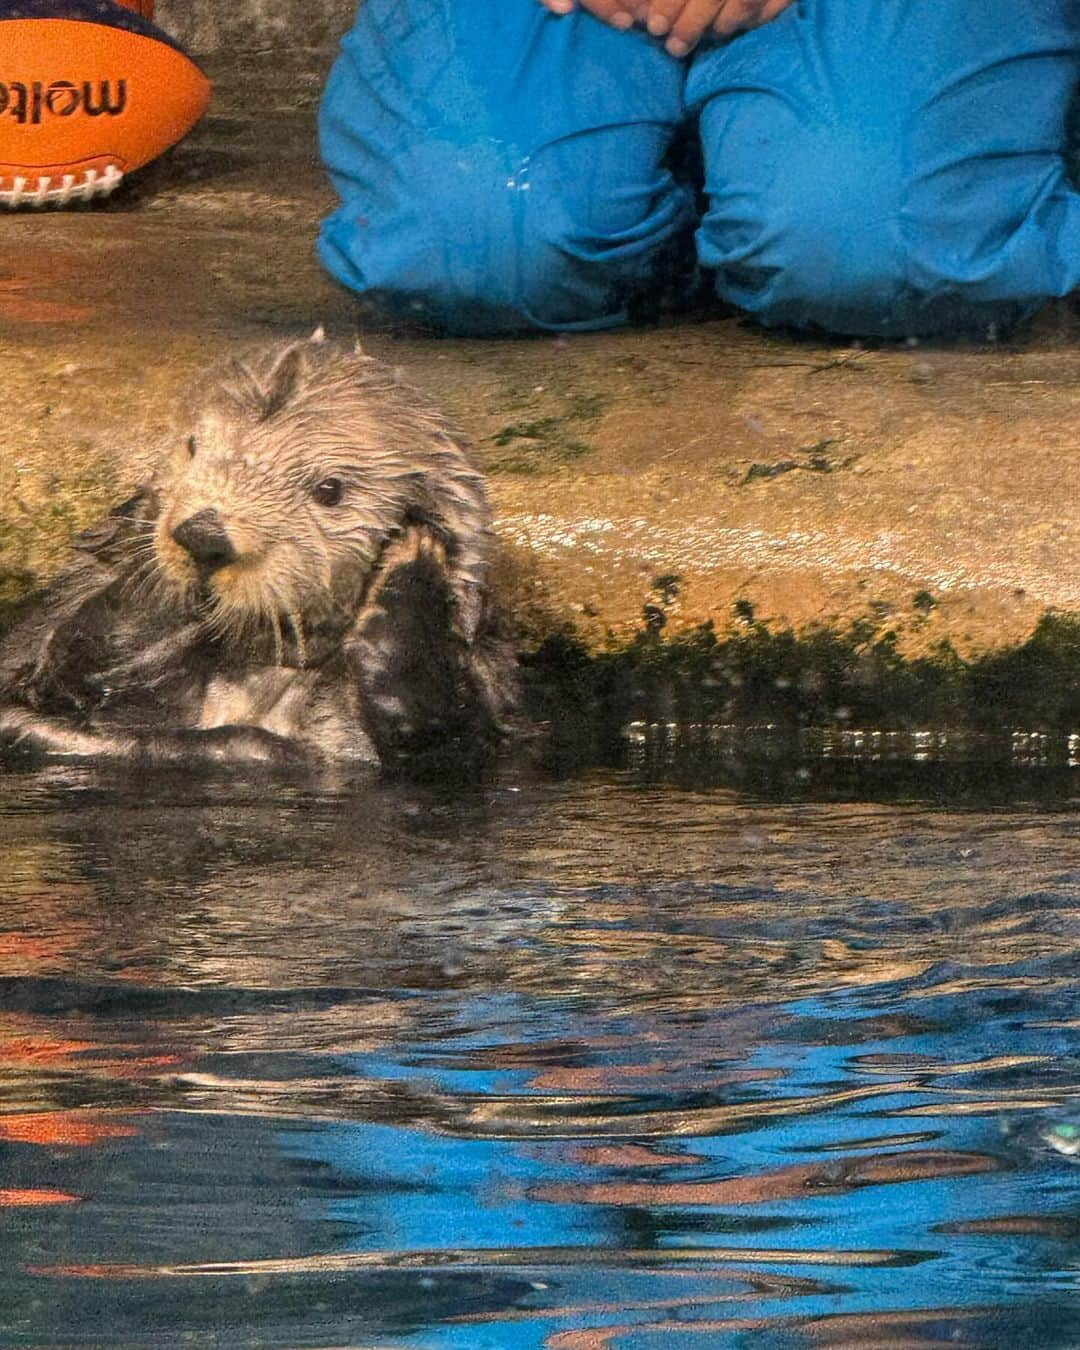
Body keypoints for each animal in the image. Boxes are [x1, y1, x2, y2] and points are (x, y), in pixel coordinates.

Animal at [0, 329, 513, 772]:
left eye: (329, 490)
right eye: (193, 446)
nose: (204, 535)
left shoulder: (475, 709)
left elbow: (426, 724)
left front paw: (413, 561)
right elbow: (70, 658)